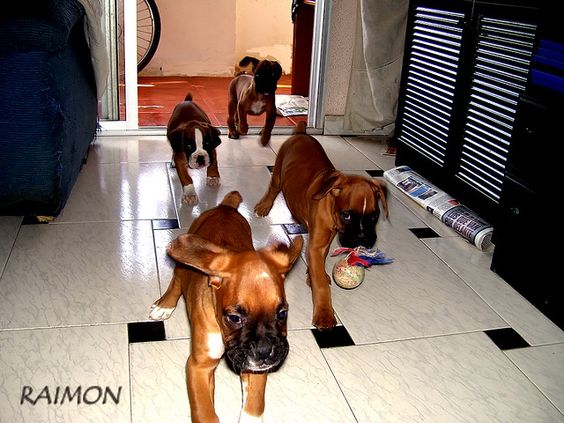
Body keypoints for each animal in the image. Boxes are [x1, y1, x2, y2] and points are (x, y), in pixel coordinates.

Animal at [148, 190, 302, 422]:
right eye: (234, 318)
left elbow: (255, 402)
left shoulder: (254, 367)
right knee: (176, 281)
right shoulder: (199, 366)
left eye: (282, 313)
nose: (265, 351)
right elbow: (204, 412)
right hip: (184, 264)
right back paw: (164, 305)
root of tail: (225, 207)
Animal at [254, 122, 388, 332]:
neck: (330, 202)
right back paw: (264, 206)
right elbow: (321, 286)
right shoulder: (316, 245)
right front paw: (324, 314)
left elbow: (320, 263)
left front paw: (315, 274)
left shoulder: (324, 242)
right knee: (273, 189)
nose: (363, 239)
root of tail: (301, 133)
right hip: (278, 172)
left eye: (374, 216)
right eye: (346, 214)